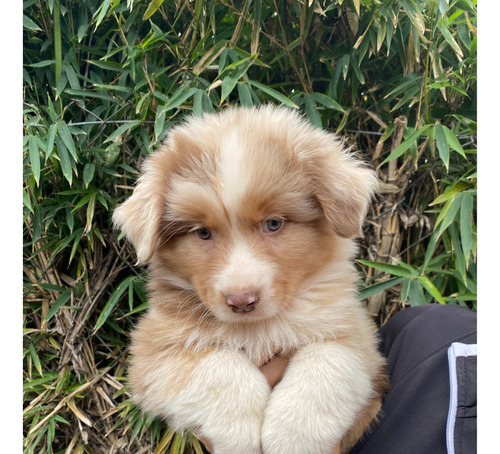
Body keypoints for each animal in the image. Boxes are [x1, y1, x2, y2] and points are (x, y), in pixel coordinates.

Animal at [113, 105, 386, 454]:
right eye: (203, 232)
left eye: (273, 223)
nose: (241, 300)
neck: (258, 329)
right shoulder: (151, 355)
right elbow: (218, 365)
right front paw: (240, 436)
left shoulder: (362, 343)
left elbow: (326, 359)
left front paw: (293, 437)